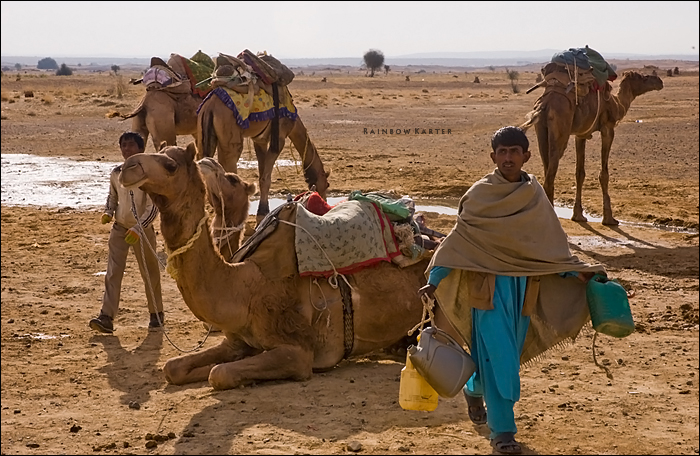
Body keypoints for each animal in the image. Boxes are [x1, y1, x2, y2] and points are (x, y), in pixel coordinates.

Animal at [119, 144, 434, 390]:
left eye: (170, 165)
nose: (127, 167)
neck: (245, 288)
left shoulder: (298, 352)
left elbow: (219, 374)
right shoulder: (235, 340)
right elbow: (173, 368)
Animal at [520, 70, 660, 225]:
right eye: (643, 77)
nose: (659, 81)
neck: (616, 104)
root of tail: (544, 104)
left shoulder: (581, 134)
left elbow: (579, 173)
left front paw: (578, 215)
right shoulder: (607, 128)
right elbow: (604, 174)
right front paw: (609, 218)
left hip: (541, 130)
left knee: (546, 167)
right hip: (560, 129)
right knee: (550, 176)